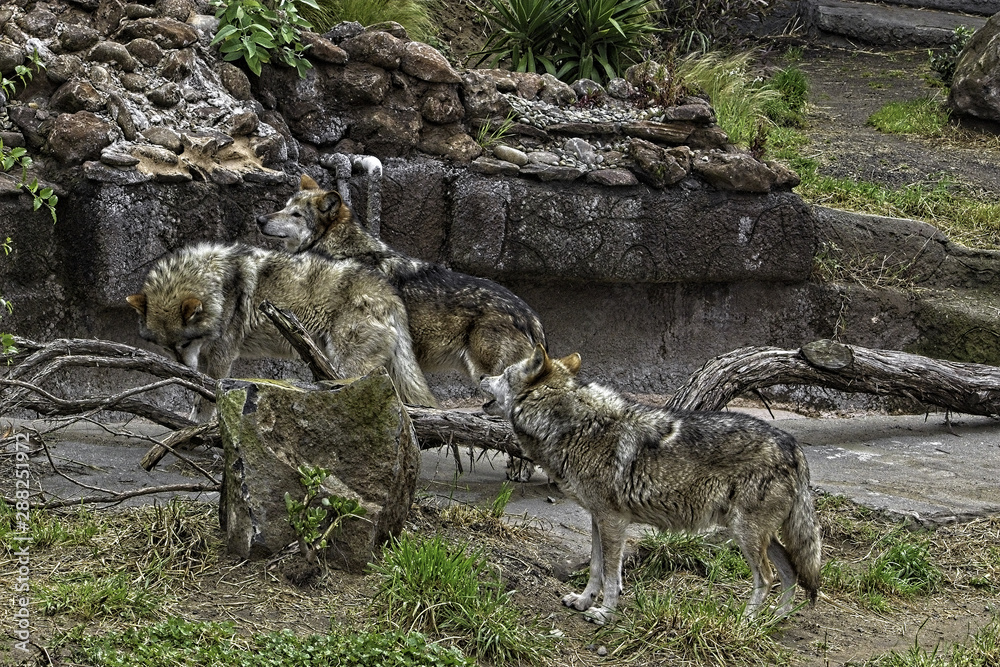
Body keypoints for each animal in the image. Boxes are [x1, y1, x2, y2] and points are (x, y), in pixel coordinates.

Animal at [126, 242, 438, 418]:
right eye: (167, 347)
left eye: (184, 344)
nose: (182, 369)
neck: (217, 285)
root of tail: (391, 294)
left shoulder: (221, 357)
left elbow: (206, 399)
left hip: (348, 369)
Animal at [257, 174, 547, 479]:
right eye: (284, 206)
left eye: (296, 214)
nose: (260, 219)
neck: (340, 252)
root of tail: (531, 317)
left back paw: (520, 470)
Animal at [480, 345, 822, 625]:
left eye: (505, 374)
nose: (483, 376)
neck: (572, 425)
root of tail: (792, 445)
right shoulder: (598, 518)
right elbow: (595, 568)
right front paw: (583, 602)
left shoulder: (613, 521)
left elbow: (611, 575)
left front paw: (605, 614)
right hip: (759, 534)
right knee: (790, 572)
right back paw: (775, 619)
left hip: (746, 534)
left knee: (767, 577)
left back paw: (746, 622)